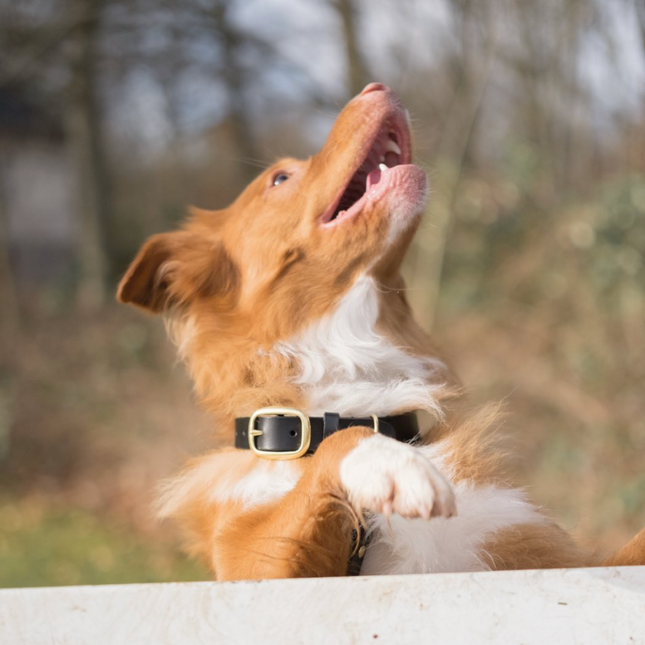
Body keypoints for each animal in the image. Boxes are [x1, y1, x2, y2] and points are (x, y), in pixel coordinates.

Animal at [117, 82, 644, 580]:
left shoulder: (560, 557)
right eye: (280, 178)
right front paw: (395, 466)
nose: (377, 87)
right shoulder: (252, 565)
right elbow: (344, 440)